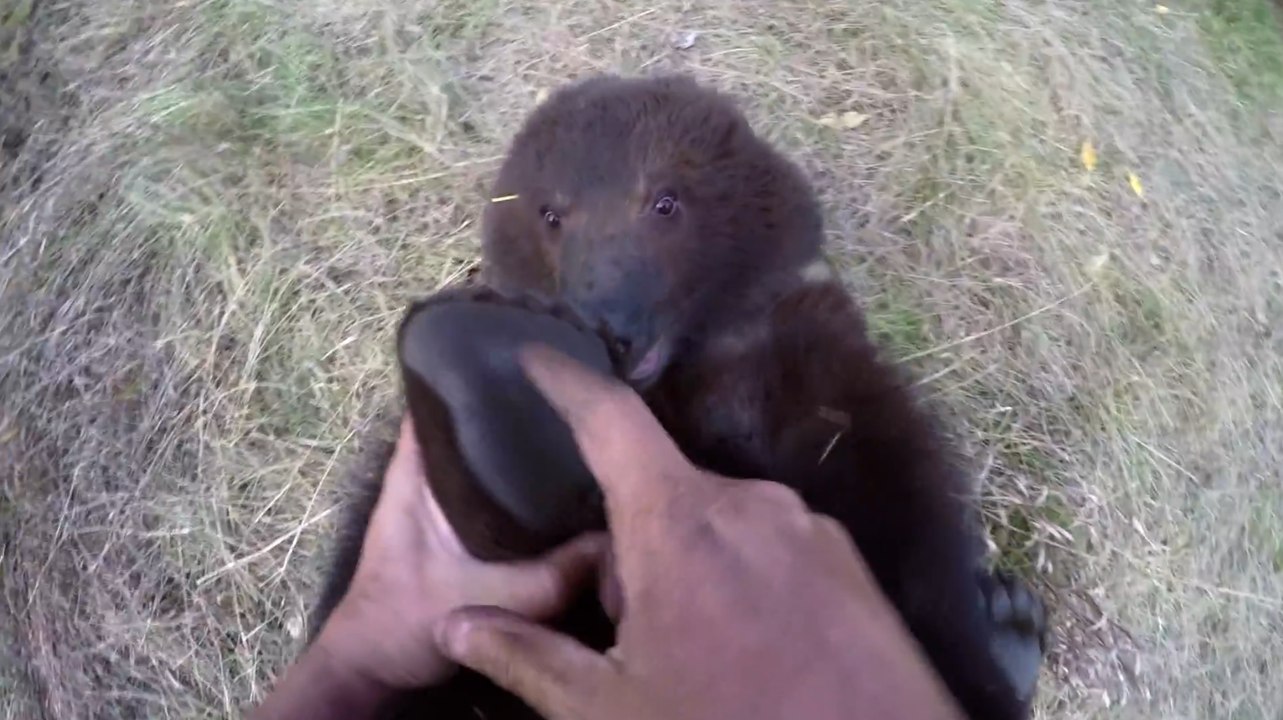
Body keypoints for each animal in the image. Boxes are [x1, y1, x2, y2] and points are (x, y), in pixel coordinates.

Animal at [312, 74, 1046, 720]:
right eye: (551, 213)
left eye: (665, 202)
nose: (610, 328)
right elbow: (502, 531)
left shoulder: (824, 381)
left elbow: (902, 513)